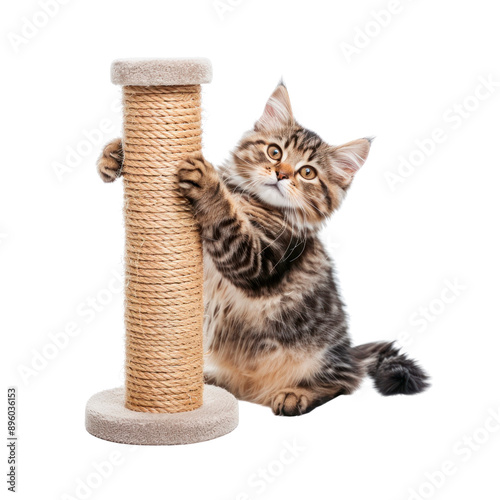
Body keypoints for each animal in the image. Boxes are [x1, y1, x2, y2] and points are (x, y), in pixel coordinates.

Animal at [98, 84, 430, 416]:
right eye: (275, 152)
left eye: (307, 172)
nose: (281, 174)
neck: (248, 198)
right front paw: (116, 153)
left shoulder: (259, 259)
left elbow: (224, 216)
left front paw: (207, 182)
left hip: (322, 359)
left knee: (343, 383)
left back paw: (295, 394)